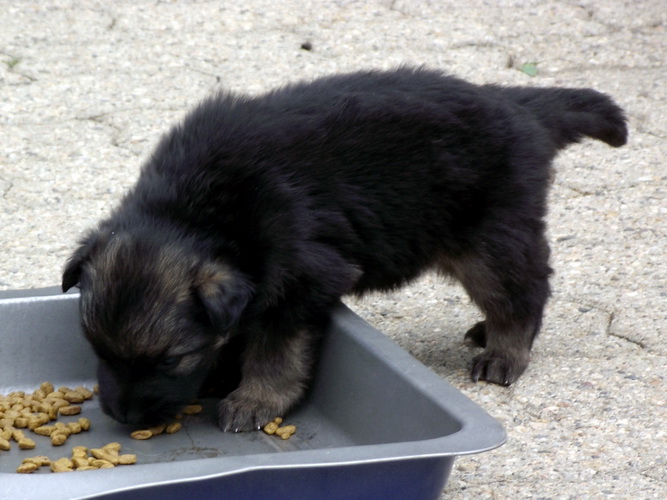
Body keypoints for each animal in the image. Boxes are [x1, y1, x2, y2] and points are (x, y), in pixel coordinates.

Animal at [61, 67, 628, 430]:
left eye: (171, 360)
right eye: (95, 348)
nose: (122, 417)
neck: (193, 208)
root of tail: (517, 103)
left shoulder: (301, 279)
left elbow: (273, 347)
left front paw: (255, 398)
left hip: (489, 240)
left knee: (524, 292)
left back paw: (504, 350)